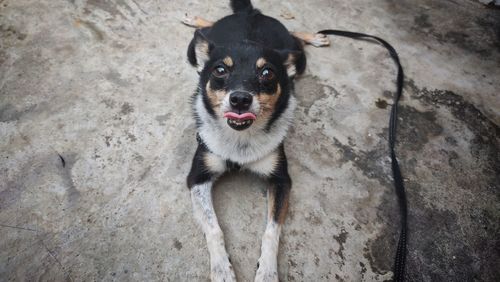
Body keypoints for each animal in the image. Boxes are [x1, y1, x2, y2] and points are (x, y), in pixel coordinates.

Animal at [183, 1, 328, 280]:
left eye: (267, 72)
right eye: (220, 70)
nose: (240, 99)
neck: (240, 139)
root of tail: (249, 14)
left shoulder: (281, 181)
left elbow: (272, 231)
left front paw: (268, 272)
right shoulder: (198, 177)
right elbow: (213, 228)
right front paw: (222, 269)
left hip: (298, 59)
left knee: (296, 38)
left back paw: (314, 37)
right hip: (193, 50)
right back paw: (195, 20)